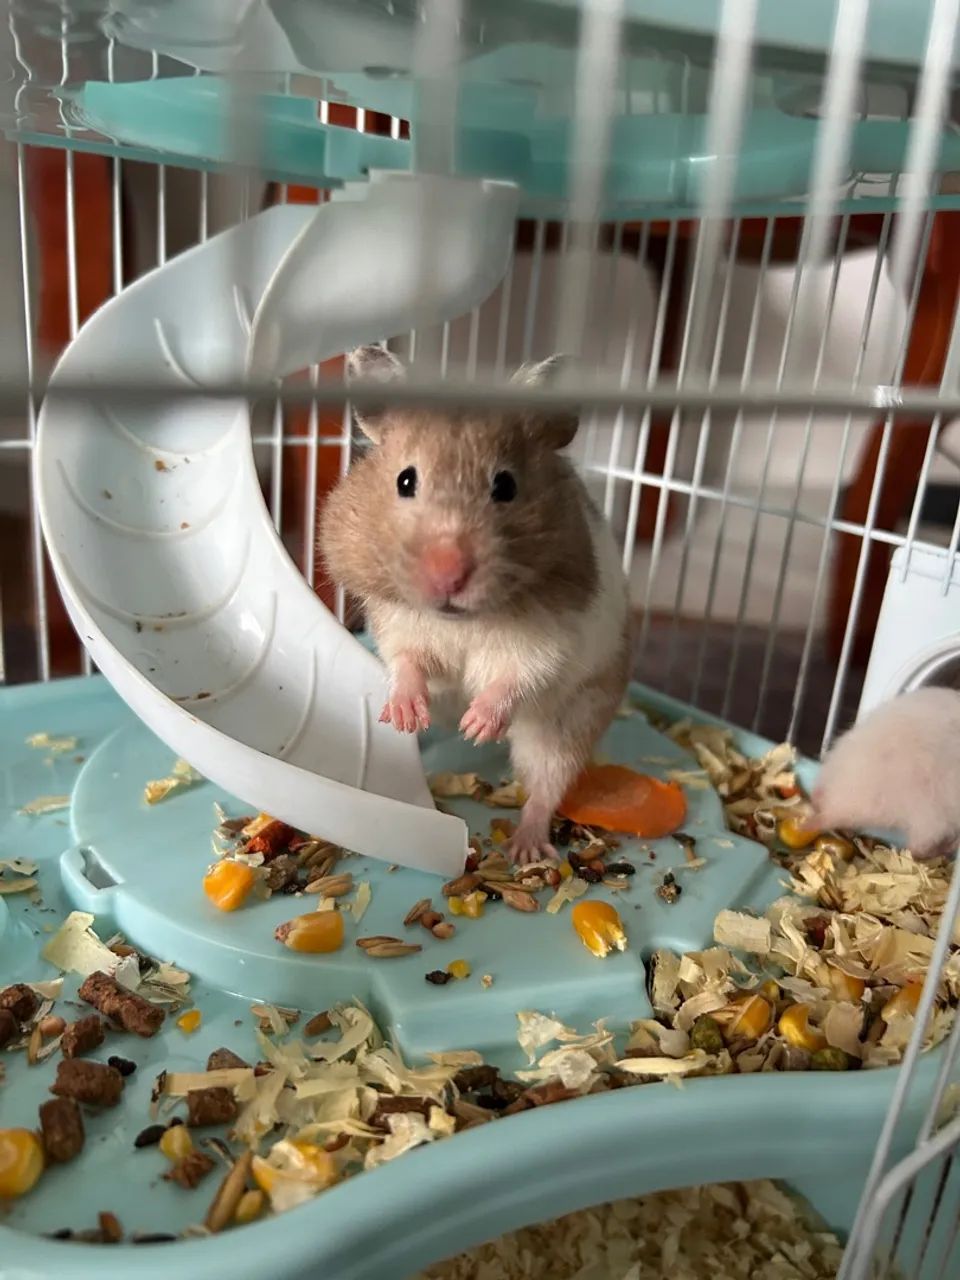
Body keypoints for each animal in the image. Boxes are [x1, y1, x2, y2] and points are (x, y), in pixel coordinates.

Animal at [320, 345, 630, 865]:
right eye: (406, 480)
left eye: (505, 486)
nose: (449, 575)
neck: (459, 621)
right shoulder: (397, 622)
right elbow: (406, 662)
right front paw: (404, 714)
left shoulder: (552, 639)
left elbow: (517, 677)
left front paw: (477, 726)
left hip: (566, 724)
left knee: (546, 784)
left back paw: (525, 849)